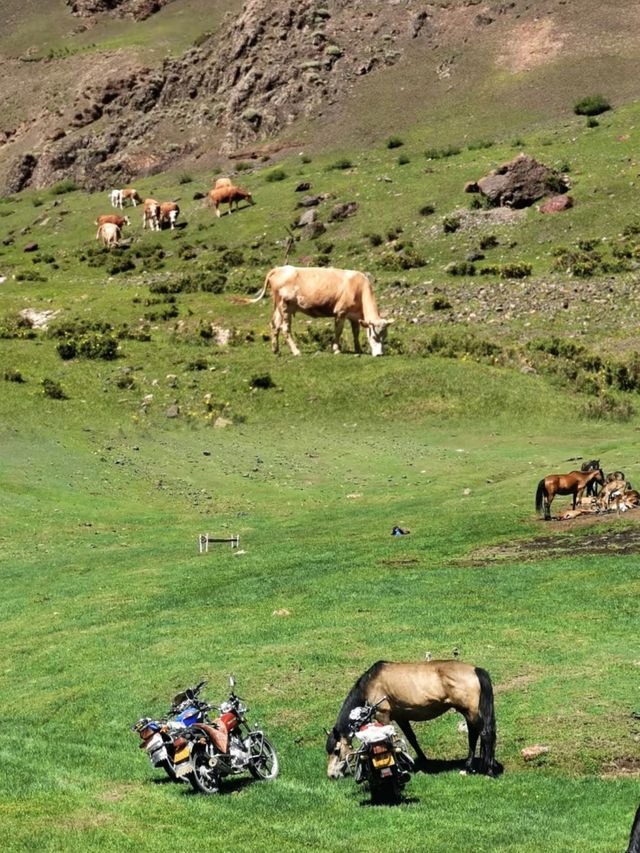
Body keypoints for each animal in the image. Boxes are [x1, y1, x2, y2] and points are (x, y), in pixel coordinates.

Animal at [249, 268, 390, 358]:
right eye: (374, 337)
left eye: (385, 337)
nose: (380, 355)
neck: (359, 287)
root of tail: (279, 268)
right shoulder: (340, 312)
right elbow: (338, 331)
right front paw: (336, 349)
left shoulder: (354, 316)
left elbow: (355, 333)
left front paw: (358, 349)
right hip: (285, 307)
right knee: (285, 328)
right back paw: (296, 351)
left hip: (279, 307)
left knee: (274, 325)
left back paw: (276, 350)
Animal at [324, 660, 500, 780]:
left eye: (336, 750)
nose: (331, 775)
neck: (372, 682)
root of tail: (475, 670)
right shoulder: (401, 717)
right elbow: (411, 738)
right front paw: (423, 762)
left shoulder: (382, 714)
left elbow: (389, 741)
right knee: (476, 736)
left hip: (471, 713)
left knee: (484, 735)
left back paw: (485, 771)